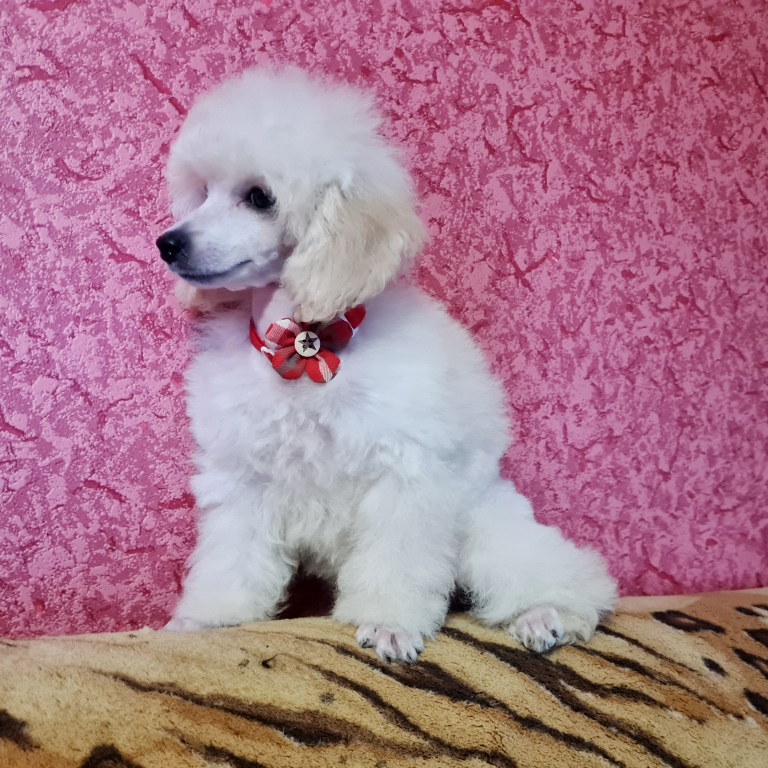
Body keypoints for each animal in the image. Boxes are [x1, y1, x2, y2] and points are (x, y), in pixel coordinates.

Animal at [156, 67, 616, 662]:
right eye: (202, 193)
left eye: (259, 197)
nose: (168, 243)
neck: (304, 345)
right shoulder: (243, 480)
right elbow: (230, 560)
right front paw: (206, 619)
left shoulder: (406, 475)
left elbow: (395, 561)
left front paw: (388, 624)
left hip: (486, 528)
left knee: (568, 581)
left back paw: (546, 615)